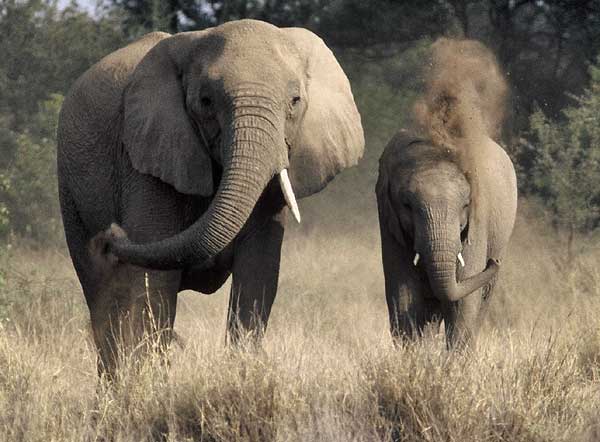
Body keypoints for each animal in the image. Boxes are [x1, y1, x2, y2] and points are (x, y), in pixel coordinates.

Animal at [58, 19, 364, 372]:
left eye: (295, 101)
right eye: (206, 101)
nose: (109, 236)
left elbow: (258, 269)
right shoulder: (146, 154)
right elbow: (154, 281)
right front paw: (149, 379)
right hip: (70, 189)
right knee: (101, 294)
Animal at [376, 131, 516, 348]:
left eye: (465, 205)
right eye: (407, 205)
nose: (494, 261)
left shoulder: (478, 221)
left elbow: (462, 301)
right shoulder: (389, 223)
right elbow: (403, 295)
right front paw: (414, 354)